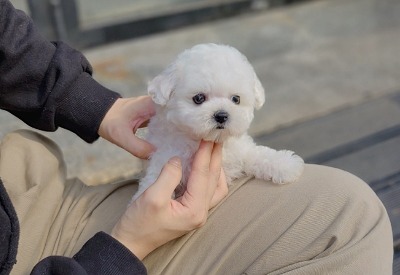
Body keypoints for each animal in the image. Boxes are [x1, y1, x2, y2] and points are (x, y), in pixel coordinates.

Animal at [133, 44, 304, 202]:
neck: (207, 139)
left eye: (236, 99)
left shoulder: (241, 149)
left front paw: (285, 164)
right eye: (199, 98)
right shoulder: (166, 154)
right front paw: (144, 197)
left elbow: (258, 154)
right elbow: (154, 177)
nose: (221, 115)